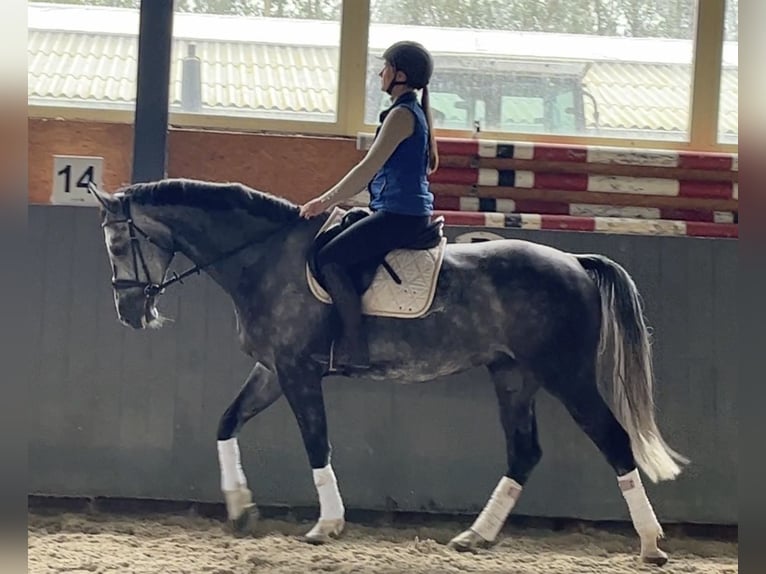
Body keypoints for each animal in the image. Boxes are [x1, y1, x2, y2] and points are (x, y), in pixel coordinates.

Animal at [90, 180, 688, 568]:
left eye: (118, 243)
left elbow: (317, 444)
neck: (264, 257)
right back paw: (475, 536)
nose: (130, 313)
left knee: (613, 441)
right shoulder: (272, 369)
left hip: (566, 375)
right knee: (524, 452)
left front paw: (327, 524)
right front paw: (240, 508)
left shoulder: (298, 372)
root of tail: (575, 263)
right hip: (513, 376)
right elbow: (226, 422)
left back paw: (651, 544)